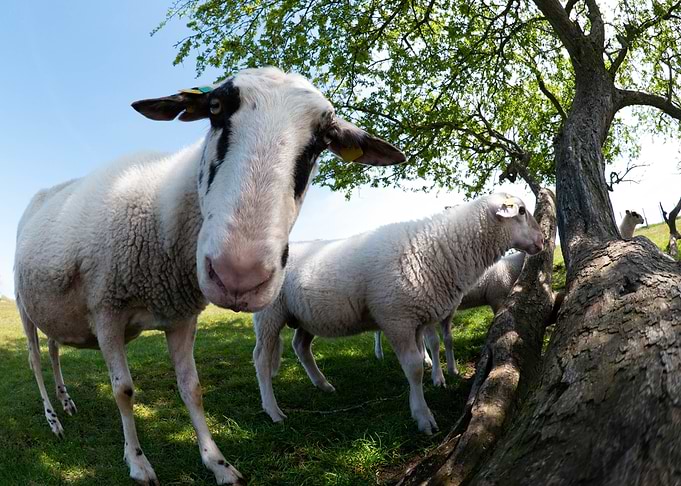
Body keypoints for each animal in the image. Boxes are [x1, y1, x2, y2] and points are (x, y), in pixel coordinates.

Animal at [13, 67, 405, 485]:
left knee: (54, 351)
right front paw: (138, 463)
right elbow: (123, 391)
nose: (238, 274)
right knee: (34, 361)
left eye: (323, 140)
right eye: (215, 108)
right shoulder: (107, 311)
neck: (161, 214)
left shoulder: (182, 318)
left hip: (55, 312)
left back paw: (66, 401)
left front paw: (218, 463)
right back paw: (53, 419)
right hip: (24, 307)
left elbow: (193, 389)